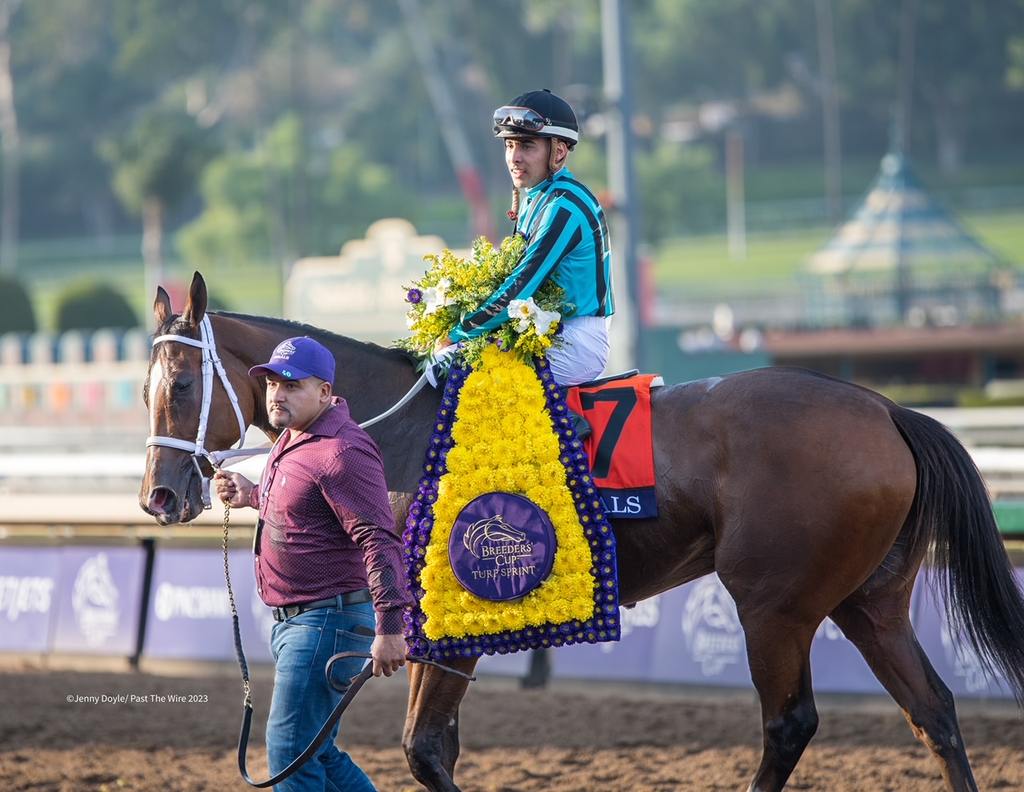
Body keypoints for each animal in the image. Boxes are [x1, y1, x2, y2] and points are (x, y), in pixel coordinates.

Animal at [142, 272, 1024, 790]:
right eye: (145, 386)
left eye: (181, 385)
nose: (158, 495)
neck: (399, 434)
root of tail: (885, 408)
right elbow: (434, 747)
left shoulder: (448, 626)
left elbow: (424, 750)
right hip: (868, 601)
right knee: (934, 712)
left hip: (774, 606)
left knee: (789, 724)